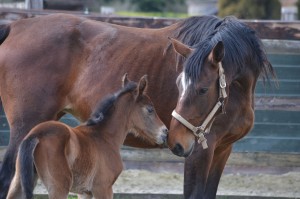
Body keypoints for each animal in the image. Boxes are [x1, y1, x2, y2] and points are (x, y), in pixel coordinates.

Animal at [7, 74, 168, 198]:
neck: (105, 136)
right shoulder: (103, 187)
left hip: (18, 182)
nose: (165, 131)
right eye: (150, 109)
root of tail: (35, 135)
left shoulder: (84, 192)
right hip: (59, 187)